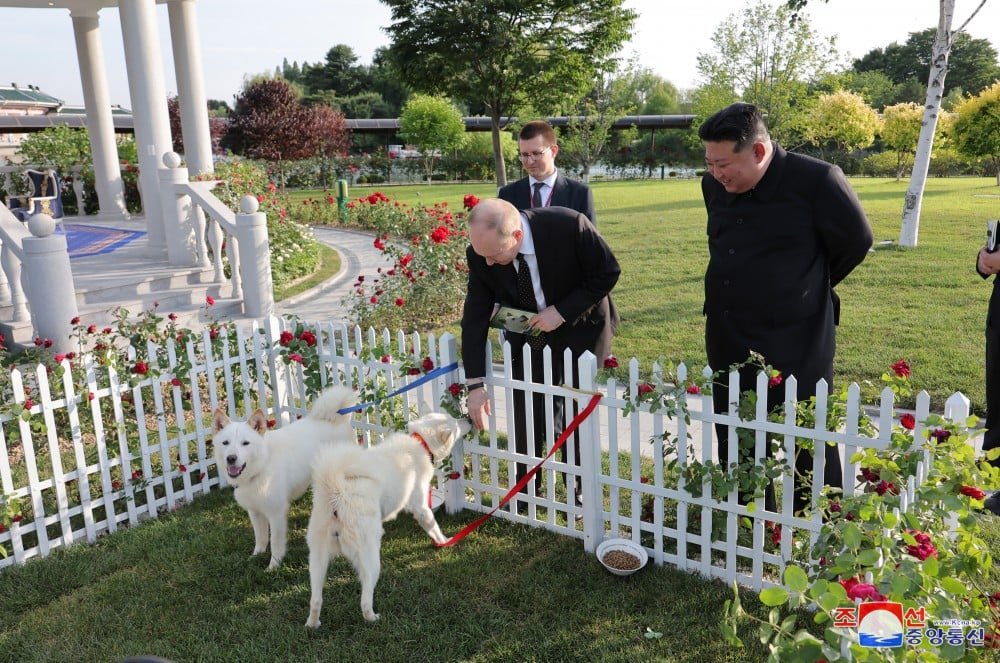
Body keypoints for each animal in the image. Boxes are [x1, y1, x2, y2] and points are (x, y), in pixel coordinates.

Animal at [209, 390, 358, 572]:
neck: (262, 465)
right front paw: (256, 556)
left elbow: (275, 543)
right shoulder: (255, 512)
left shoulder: (276, 514)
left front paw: (273, 566)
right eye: (225, 443)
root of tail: (337, 418)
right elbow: (261, 538)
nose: (231, 458)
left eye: (245, 443)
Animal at [302, 410, 470, 628]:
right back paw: (372, 618)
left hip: (317, 559)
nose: (468, 418)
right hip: (371, 558)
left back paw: (313, 624)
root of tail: (336, 491)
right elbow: (432, 525)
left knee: (315, 599)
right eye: (455, 423)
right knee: (365, 600)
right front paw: (444, 541)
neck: (420, 441)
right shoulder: (420, 507)